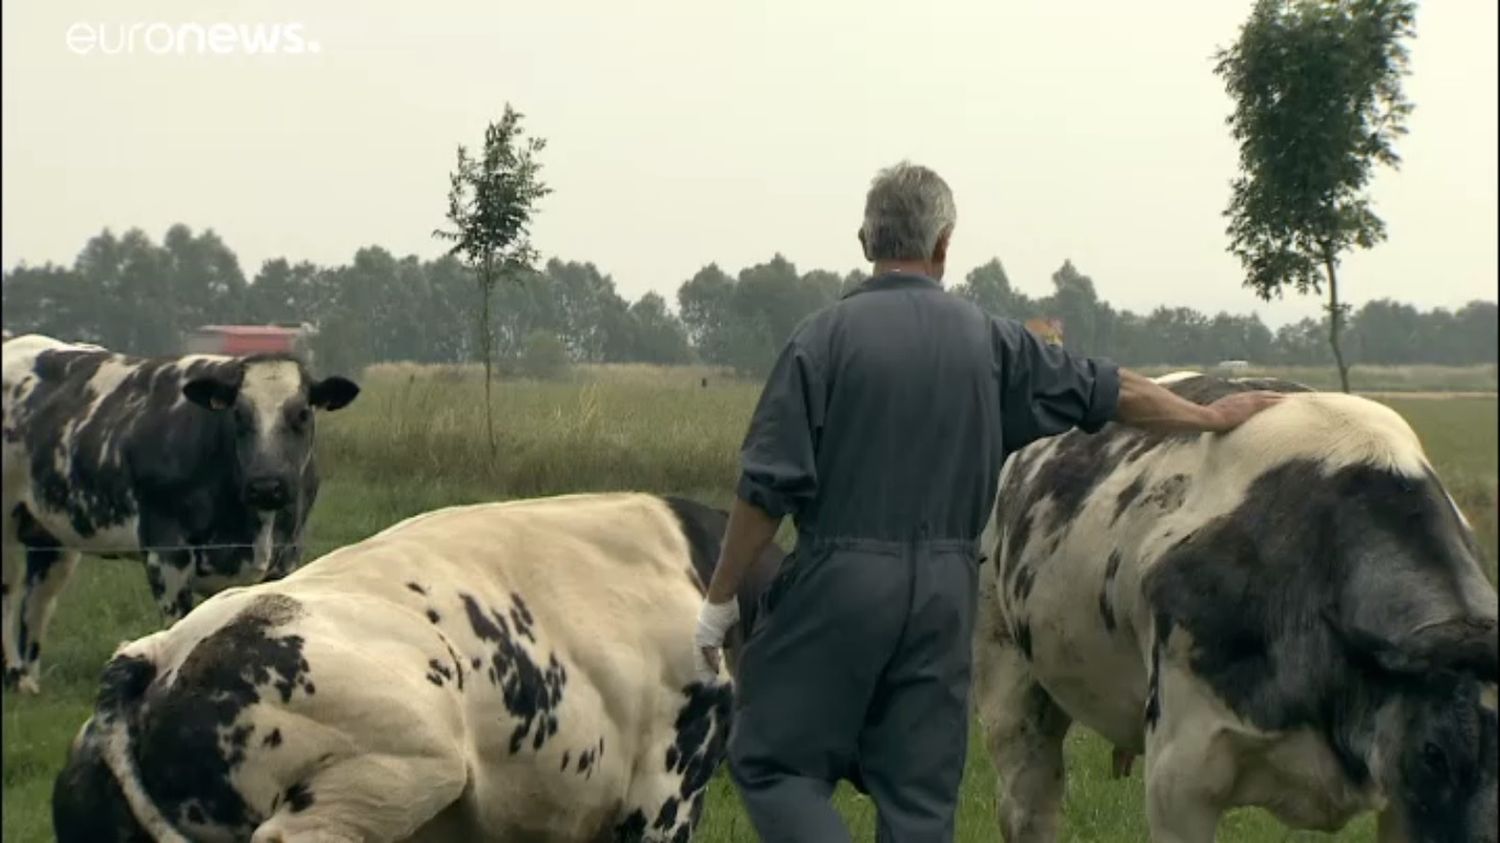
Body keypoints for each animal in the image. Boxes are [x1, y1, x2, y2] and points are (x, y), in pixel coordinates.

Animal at [1, 331, 358, 693]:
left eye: (302, 414)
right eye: (238, 415)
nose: (266, 486)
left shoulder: (287, 556)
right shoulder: (167, 551)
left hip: (50, 536)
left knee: (37, 602)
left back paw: (28, 682)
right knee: (8, 593)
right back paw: (13, 674)